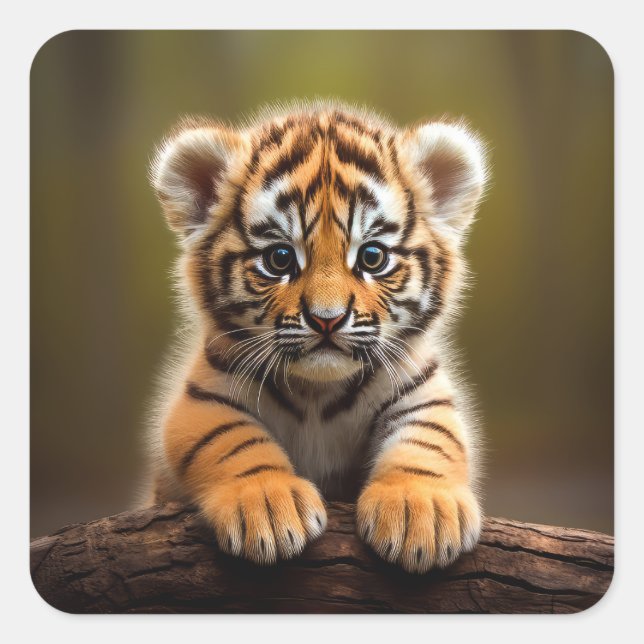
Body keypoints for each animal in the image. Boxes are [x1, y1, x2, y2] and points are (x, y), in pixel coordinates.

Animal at [147, 99, 488, 574]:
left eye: (372, 257)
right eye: (279, 258)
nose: (327, 319)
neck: (317, 393)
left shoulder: (422, 387)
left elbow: (430, 437)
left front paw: (422, 508)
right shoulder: (200, 396)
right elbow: (227, 437)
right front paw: (267, 504)